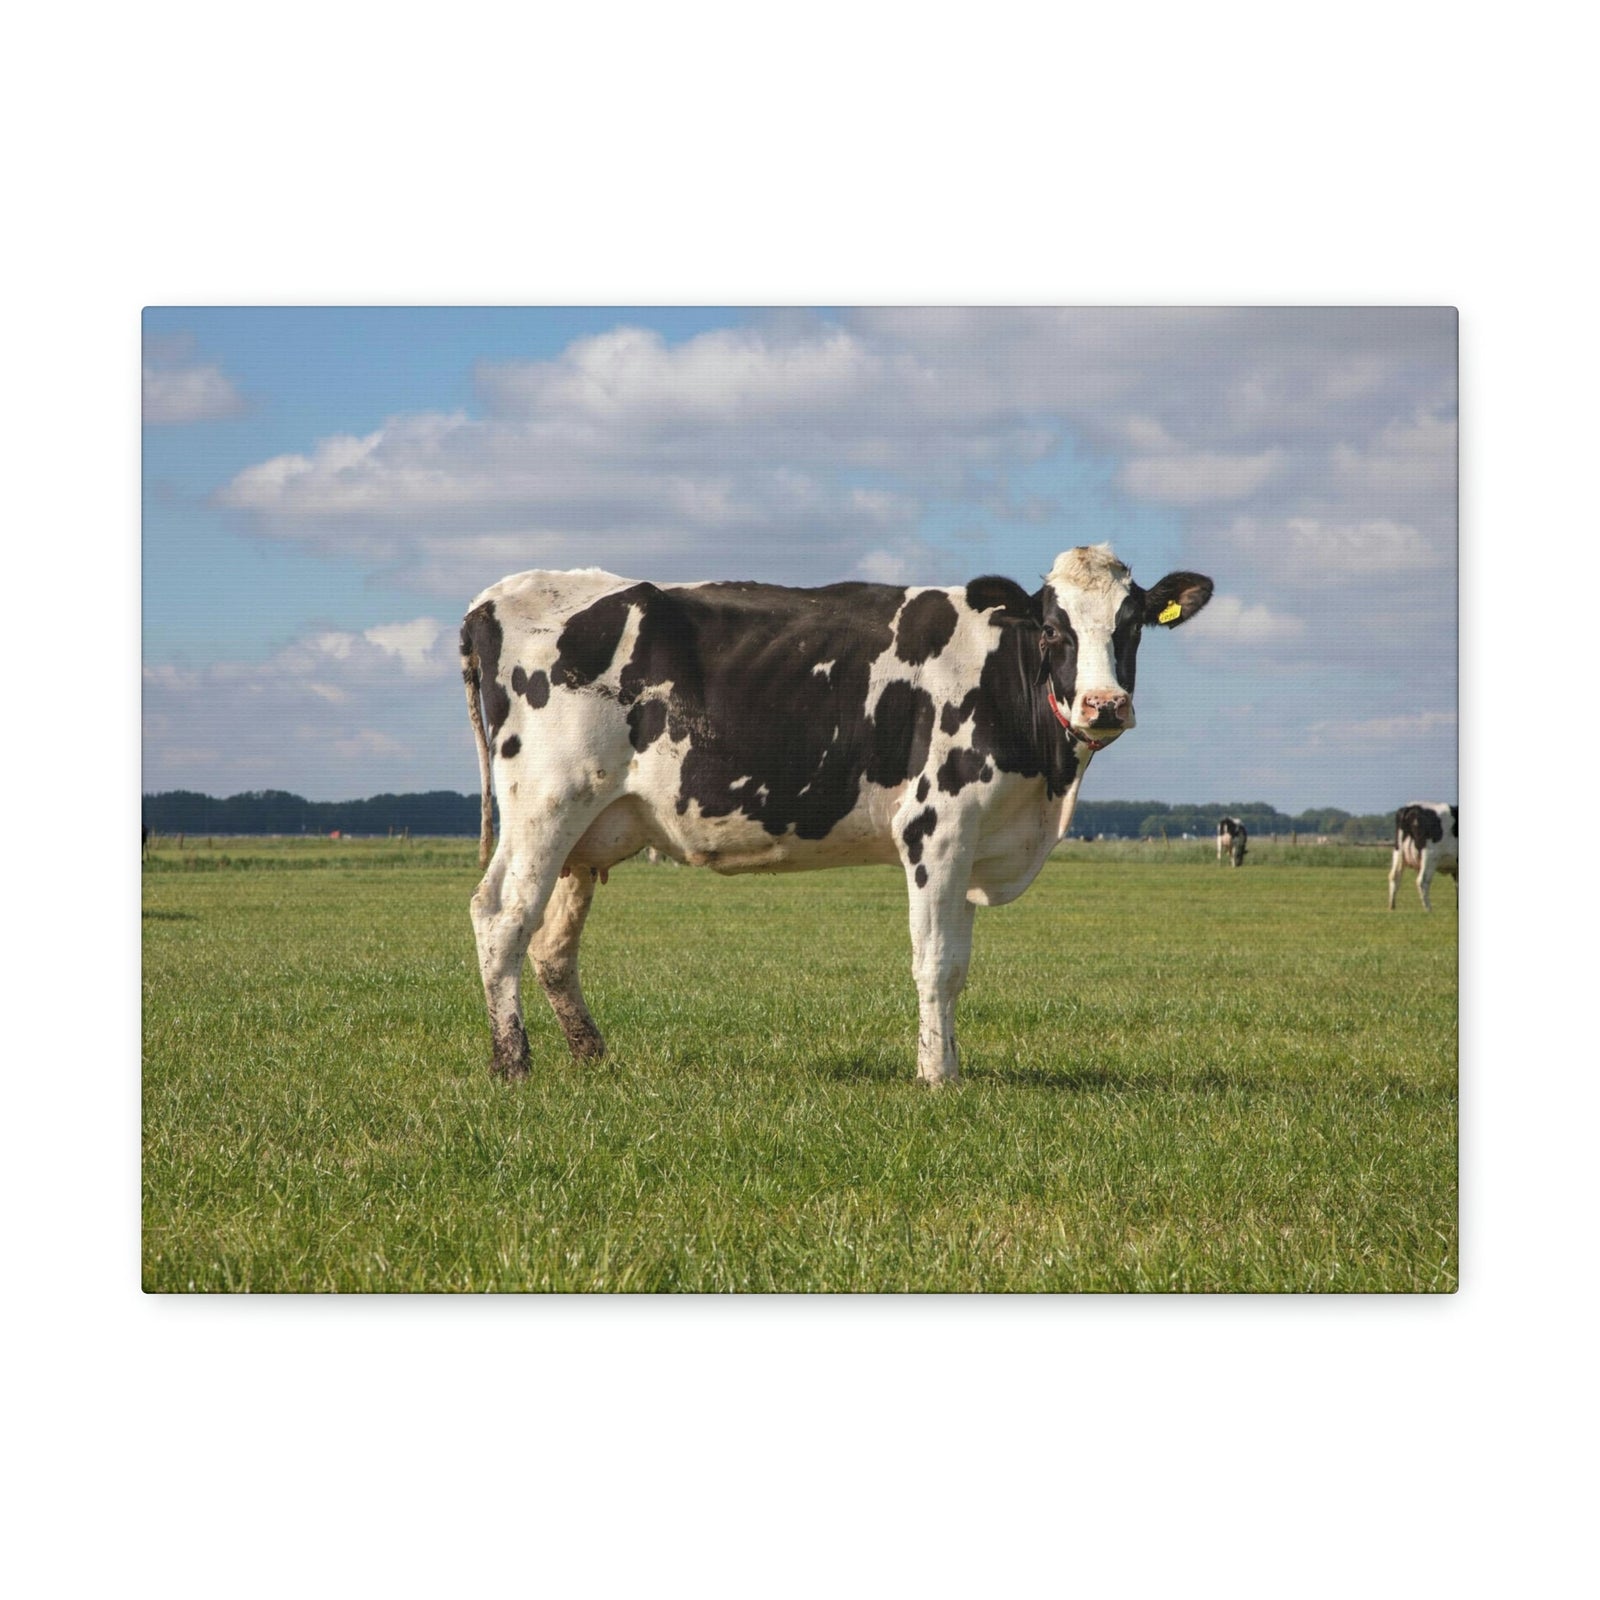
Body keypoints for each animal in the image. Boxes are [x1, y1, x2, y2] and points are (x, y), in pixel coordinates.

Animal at [460, 544, 1213, 1084]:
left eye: (1131, 625)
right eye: (1054, 630)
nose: (1104, 704)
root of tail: (496, 598)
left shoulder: (974, 839)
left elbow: (959, 964)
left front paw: (951, 1063)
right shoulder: (935, 827)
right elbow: (936, 961)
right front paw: (937, 1076)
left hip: (586, 831)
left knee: (553, 944)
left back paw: (591, 1054)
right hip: (545, 803)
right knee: (501, 916)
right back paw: (512, 1062)